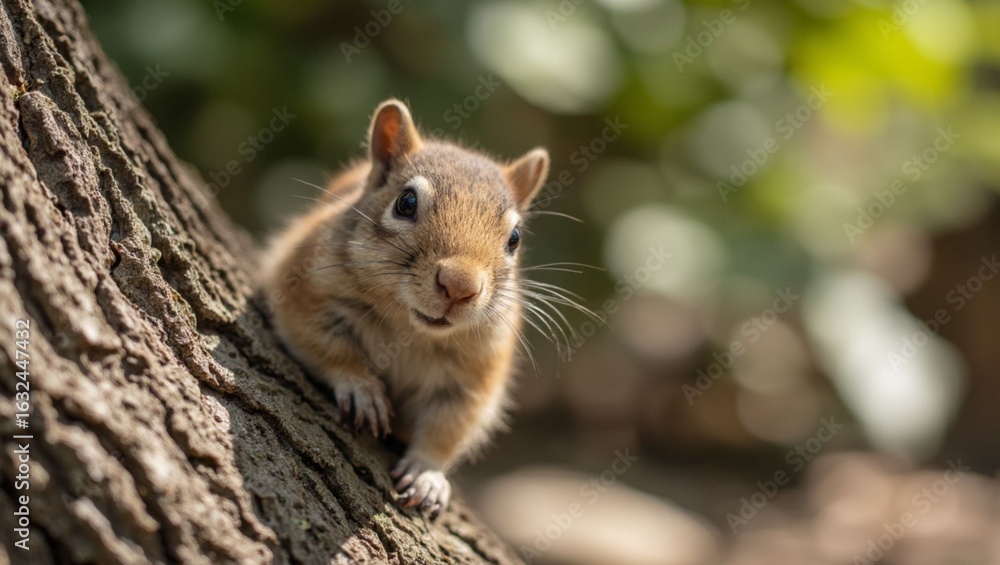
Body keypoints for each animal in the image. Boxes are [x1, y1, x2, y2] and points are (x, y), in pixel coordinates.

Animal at [258, 99, 550, 519]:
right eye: (406, 203)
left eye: (515, 238)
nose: (459, 285)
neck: (411, 329)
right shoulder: (304, 290)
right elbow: (325, 344)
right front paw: (361, 388)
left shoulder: (477, 372)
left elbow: (450, 426)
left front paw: (427, 475)